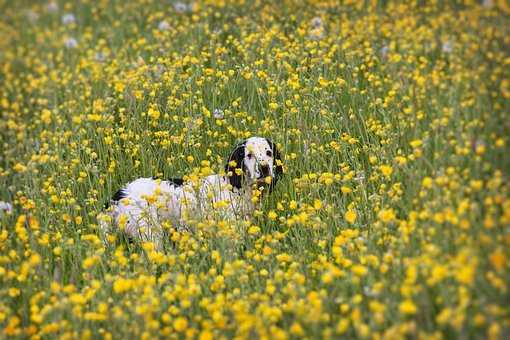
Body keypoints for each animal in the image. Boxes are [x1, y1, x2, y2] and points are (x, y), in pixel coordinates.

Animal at [98, 136, 282, 250]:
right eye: (249, 155)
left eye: (269, 153)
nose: (264, 168)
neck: (235, 187)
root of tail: (118, 196)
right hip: (150, 233)